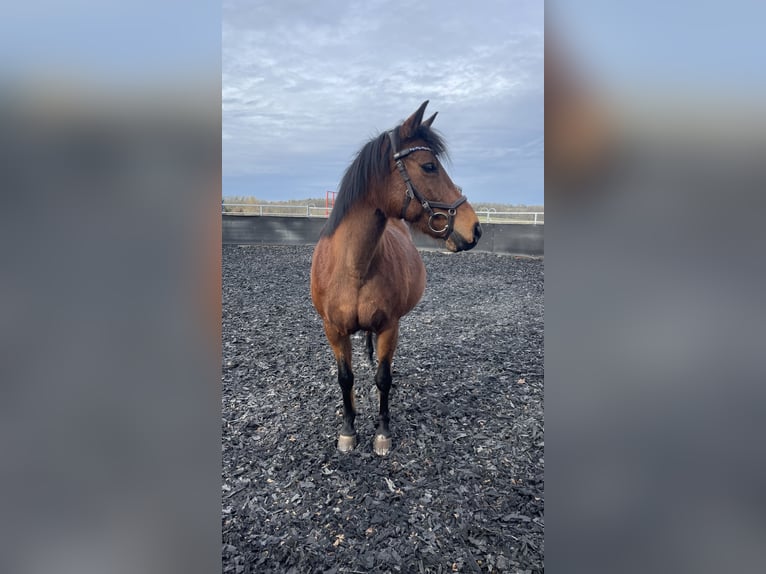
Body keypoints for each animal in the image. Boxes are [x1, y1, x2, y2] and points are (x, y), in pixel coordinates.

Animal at [310, 101, 480, 456]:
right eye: (429, 166)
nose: (475, 228)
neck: (353, 267)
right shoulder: (333, 330)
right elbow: (345, 378)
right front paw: (348, 430)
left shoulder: (390, 327)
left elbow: (383, 379)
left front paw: (382, 432)